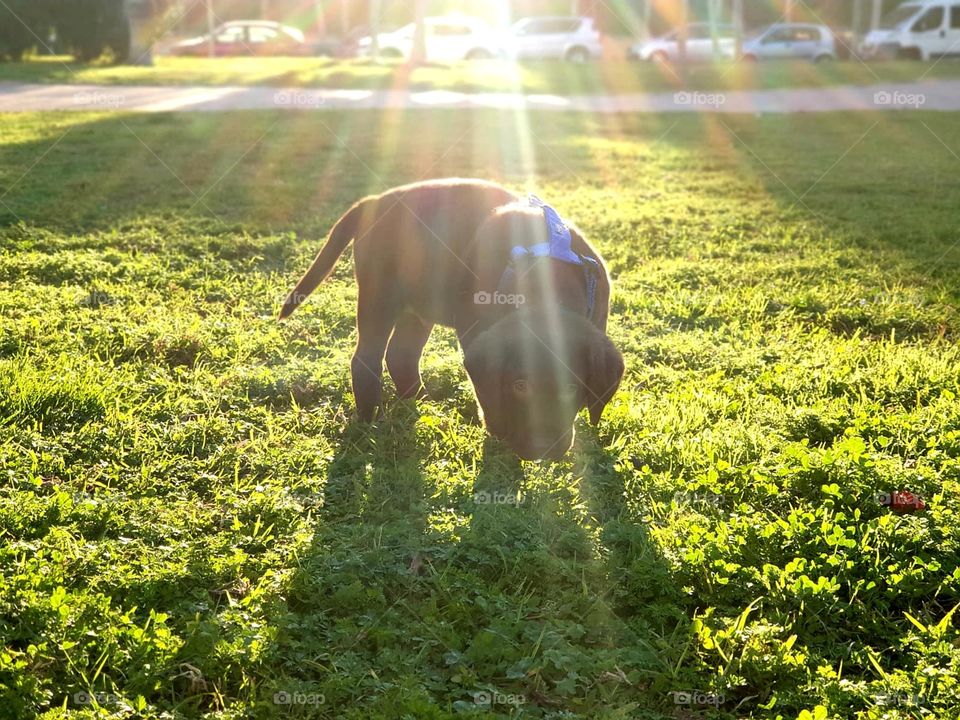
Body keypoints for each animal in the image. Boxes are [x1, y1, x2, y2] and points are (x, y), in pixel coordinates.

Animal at [278, 180, 624, 462]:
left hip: (418, 305)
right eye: (520, 386)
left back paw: (420, 402)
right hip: (379, 298)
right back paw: (368, 420)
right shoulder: (475, 331)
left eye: (571, 387)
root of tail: (373, 201)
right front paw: (497, 431)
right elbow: (488, 395)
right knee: (366, 360)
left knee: (401, 356)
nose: (544, 449)